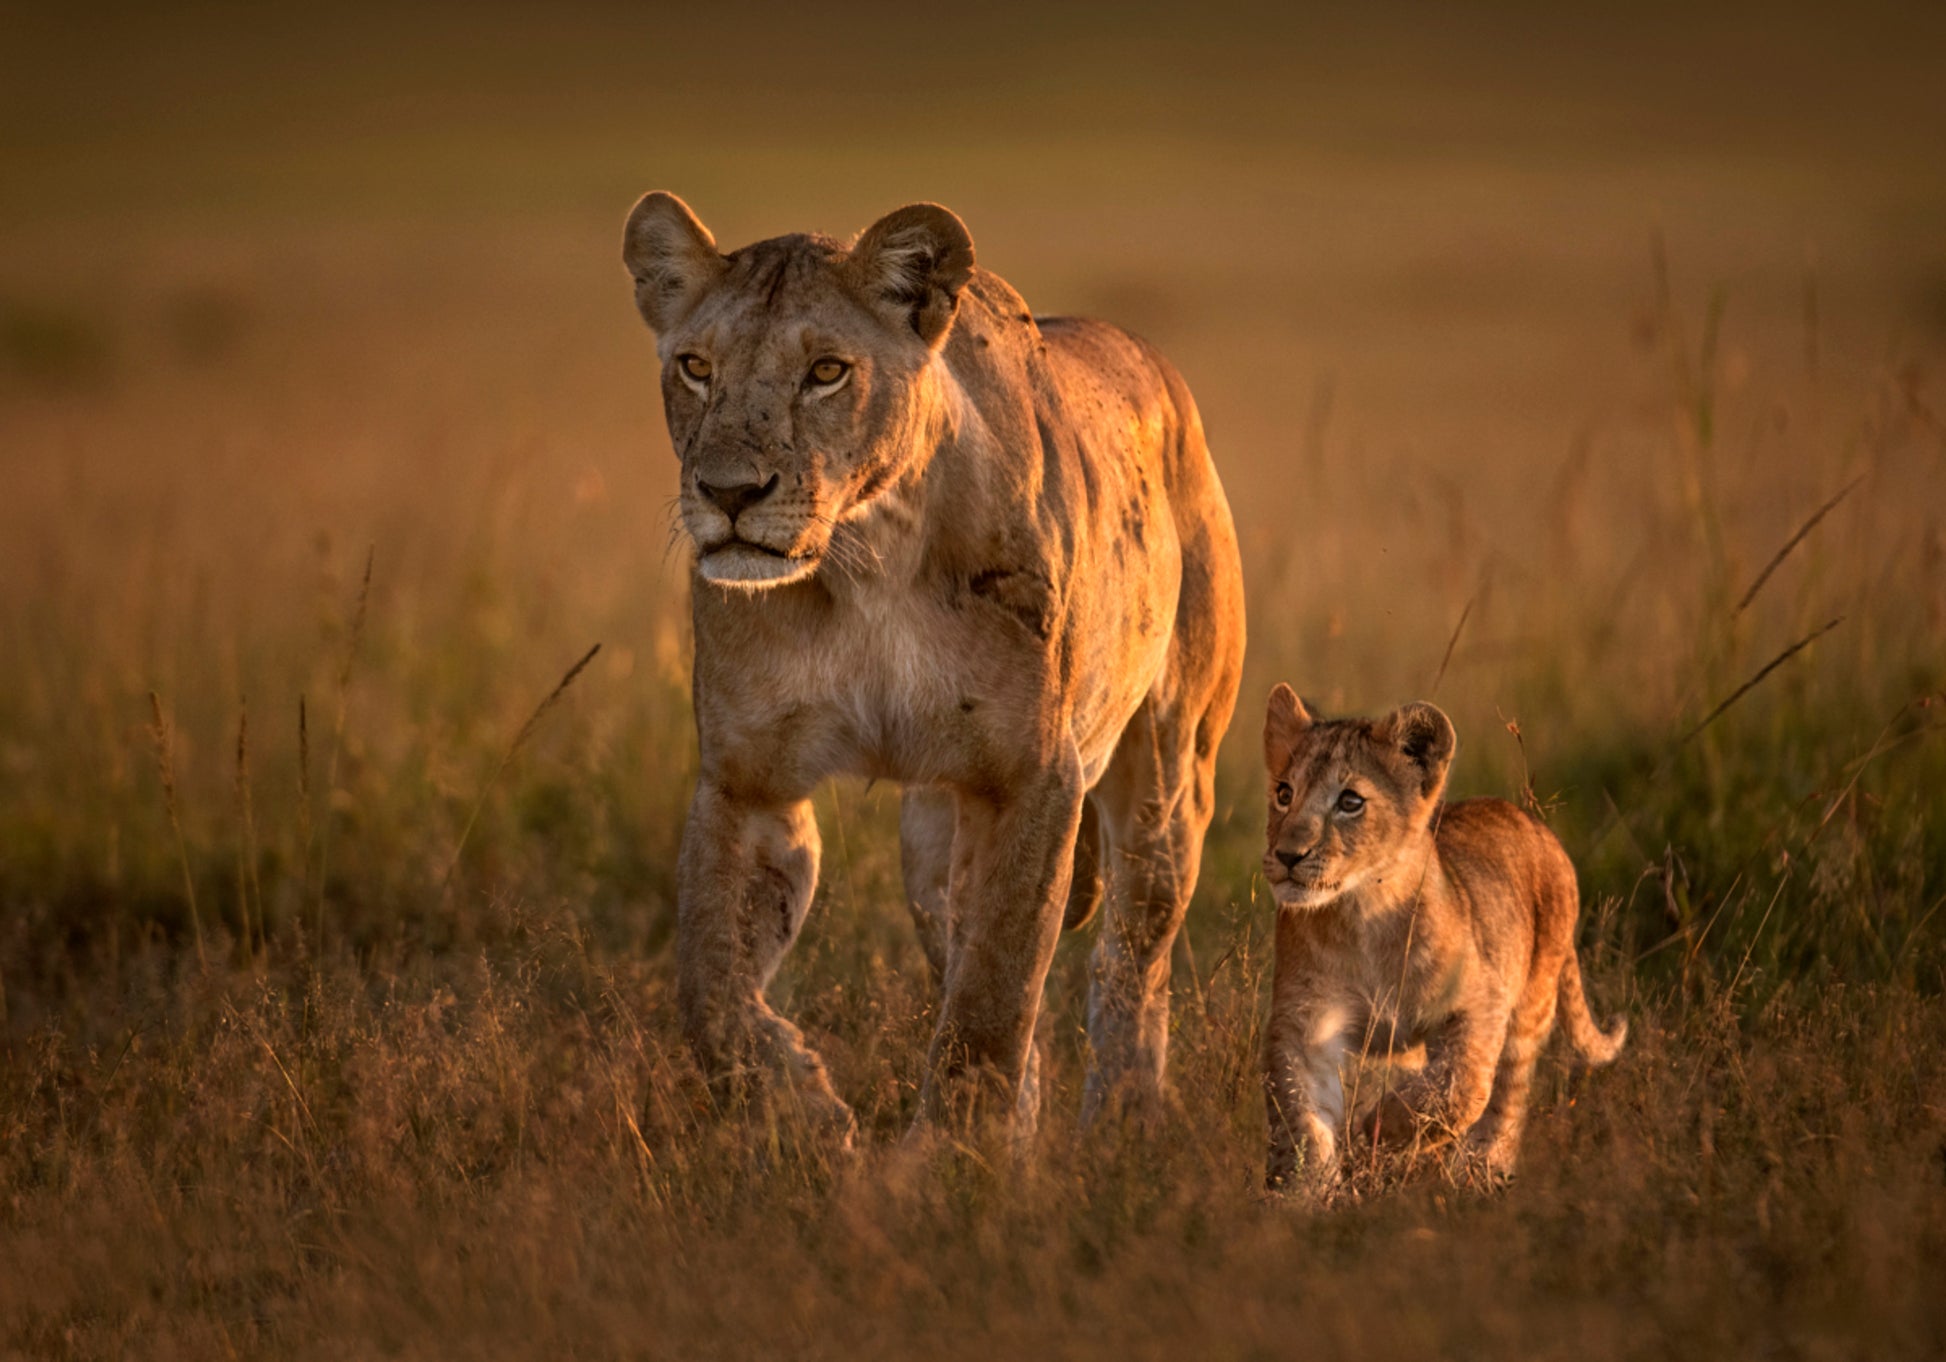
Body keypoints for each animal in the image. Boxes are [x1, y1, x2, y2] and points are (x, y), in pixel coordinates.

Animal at [621, 192, 1246, 1136]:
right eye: (695, 367)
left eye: (827, 372)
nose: (728, 493)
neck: (864, 561)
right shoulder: (747, 781)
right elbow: (712, 991)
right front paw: (807, 1113)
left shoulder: (1032, 777)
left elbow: (992, 1001)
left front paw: (955, 1158)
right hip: (931, 842)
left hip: (1169, 779)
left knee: (1133, 964)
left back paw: (1122, 1126)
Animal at [1258, 685, 1626, 1191]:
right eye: (1283, 793)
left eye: (1350, 802)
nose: (1288, 855)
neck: (1362, 914)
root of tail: (1533, 823)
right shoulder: (1306, 1023)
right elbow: (1301, 1118)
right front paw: (1302, 1191)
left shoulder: (1480, 1002)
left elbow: (1462, 1085)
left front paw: (1379, 1128)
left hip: (1531, 1004)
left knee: (1506, 1098)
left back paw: (1481, 1171)